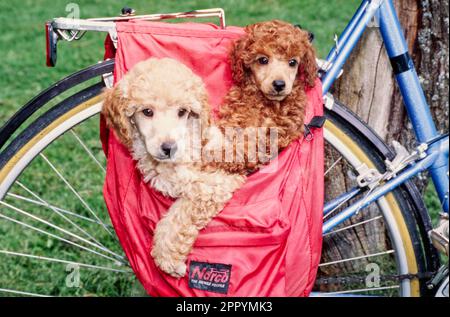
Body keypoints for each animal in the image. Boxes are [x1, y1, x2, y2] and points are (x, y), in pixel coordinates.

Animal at [101, 57, 244, 276]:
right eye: (147, 111)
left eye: (182, 112)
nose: (169, 148)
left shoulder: (214, 185)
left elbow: (177, 216)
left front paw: (166, 258)